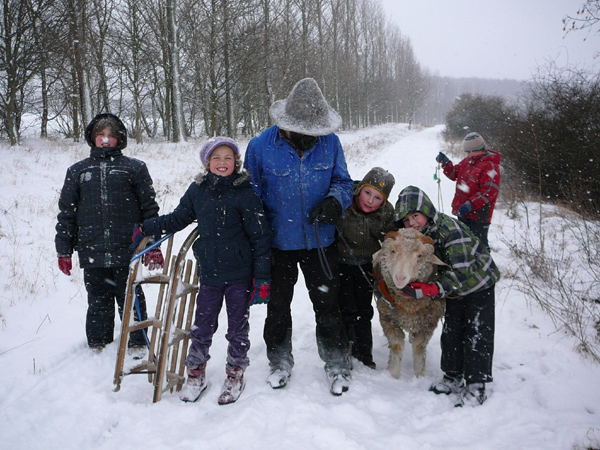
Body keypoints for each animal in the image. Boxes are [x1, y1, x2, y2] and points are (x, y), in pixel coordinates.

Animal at [372, 229, 448, 380]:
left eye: (420, 255)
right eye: (393, 251)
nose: (400, 278)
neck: (408, 306)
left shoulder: (429, 322)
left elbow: (419, 348)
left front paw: (420, 376)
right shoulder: (387, 318)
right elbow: (396, 346)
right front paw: (393, 374)